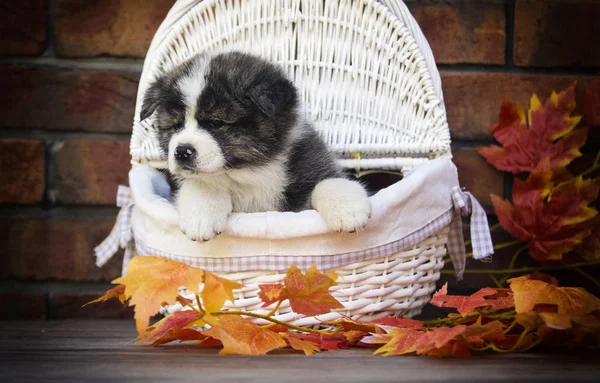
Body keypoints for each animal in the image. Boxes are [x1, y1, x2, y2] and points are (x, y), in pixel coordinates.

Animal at [140, 52, 370, 242]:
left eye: (215, 122)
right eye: (175, 125)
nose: (182, 152)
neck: (250, 172)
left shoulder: (308, 163)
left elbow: (328, 182)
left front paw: (348, 210)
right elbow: (204, 181)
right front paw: (201, 217)